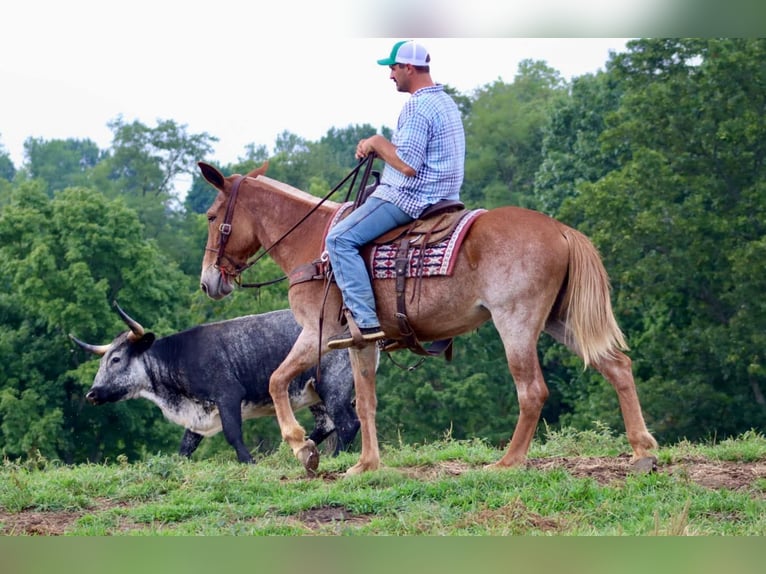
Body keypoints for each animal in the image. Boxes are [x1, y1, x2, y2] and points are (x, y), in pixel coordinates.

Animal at [70, 306, 362, 464]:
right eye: (102, 361)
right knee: (327, 424)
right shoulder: (197, 416)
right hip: (316, 394)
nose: (92, 394)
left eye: (116, 359)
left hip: (333, 386)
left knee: (348, 423)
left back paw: (333, 457)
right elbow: (185, 447)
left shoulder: (228, 395)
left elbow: (233, 433)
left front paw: (249, 461)